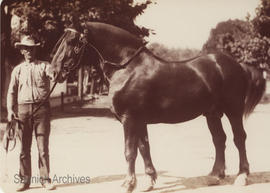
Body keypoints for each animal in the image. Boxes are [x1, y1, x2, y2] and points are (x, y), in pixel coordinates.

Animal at [50, 22, 266, 191]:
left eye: (72, 42)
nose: (53, 72)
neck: (129, 68)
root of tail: (237, 65)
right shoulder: (139, 120)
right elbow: (144, 147)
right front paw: (149, 181)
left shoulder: (129, 119)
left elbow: (130, 151)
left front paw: (128, 184)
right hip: (212, 114)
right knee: (219, 139)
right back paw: (215, 175)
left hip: (233, 110)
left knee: (239, 138)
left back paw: (242, 176)